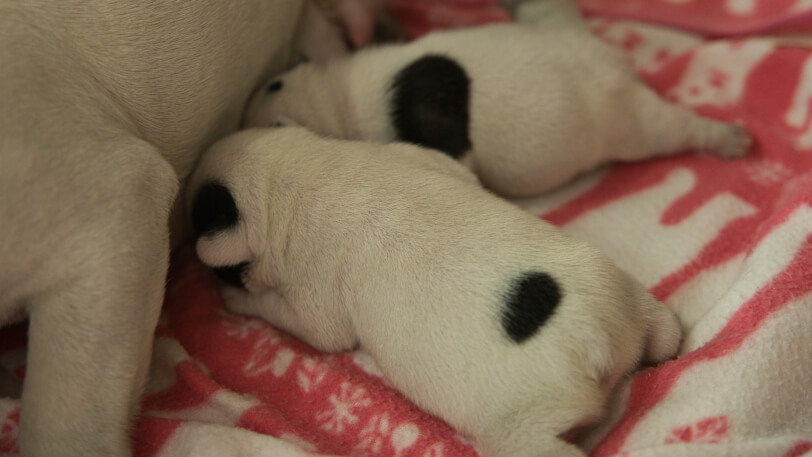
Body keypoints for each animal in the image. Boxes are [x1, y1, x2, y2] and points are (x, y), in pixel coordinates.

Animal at [187, 125, 680, 456]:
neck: (288, 173)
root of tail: (595, 343)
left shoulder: (313, 293)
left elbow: (303, 323)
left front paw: (238, 301)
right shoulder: (420, 157)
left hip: (521, 427)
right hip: (622, 292)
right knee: (662, 328)